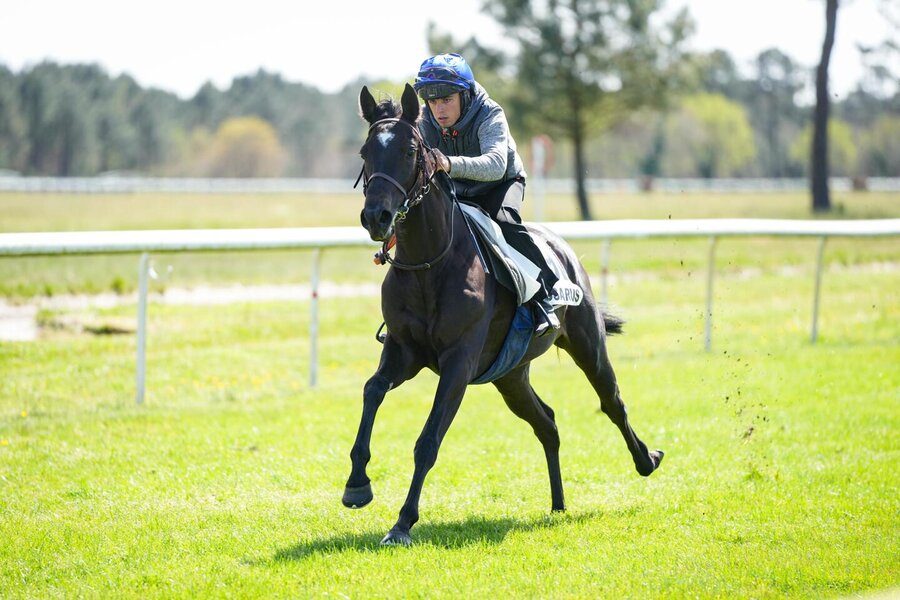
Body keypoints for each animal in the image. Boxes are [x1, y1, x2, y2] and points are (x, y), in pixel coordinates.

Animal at [343, 83, 664, 546]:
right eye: (366, 151)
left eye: (409, 150)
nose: (376, 216)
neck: (429, 263)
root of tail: (566, 250)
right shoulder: (404, 352)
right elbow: (372, 391)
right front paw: (357, 484)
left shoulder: (458, 362)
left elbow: (428, 440)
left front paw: (402, 523)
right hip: (509, 374)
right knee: (547, 423)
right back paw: (558, 504)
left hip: (587, 345)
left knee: (612, 402)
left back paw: (646, 459)